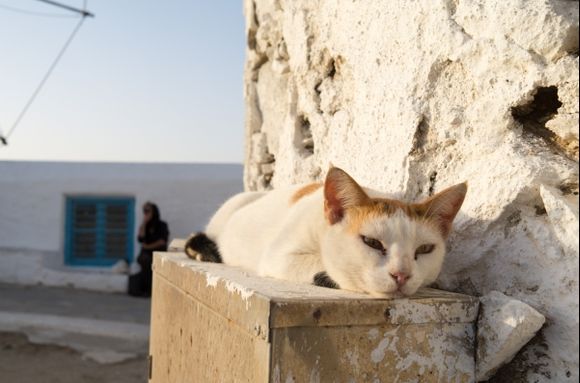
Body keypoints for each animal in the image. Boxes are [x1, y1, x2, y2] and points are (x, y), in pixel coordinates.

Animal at [186, 167, 466, 296]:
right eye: (372, 242)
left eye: (425, 249)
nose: (402, 275)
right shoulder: (279, 255)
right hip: (230, 208)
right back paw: (205, 251)